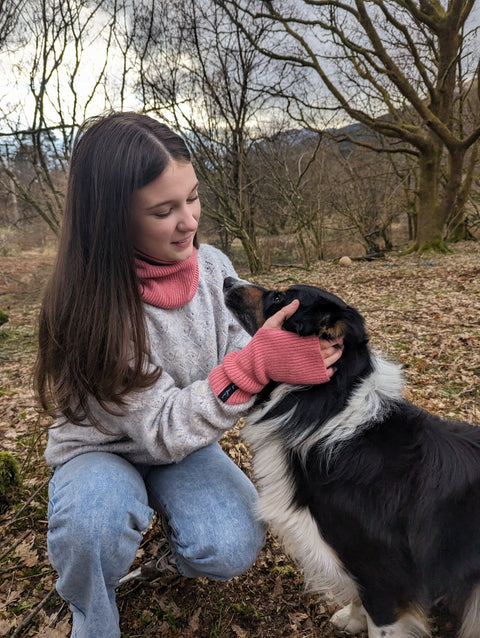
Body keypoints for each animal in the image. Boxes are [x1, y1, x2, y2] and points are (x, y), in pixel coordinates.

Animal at [223, 278, 480, 638]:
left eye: (278, 299)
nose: (228, 280)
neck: (323, 408)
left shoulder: (385, 577)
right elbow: (360, 597)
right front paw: (353, 617)